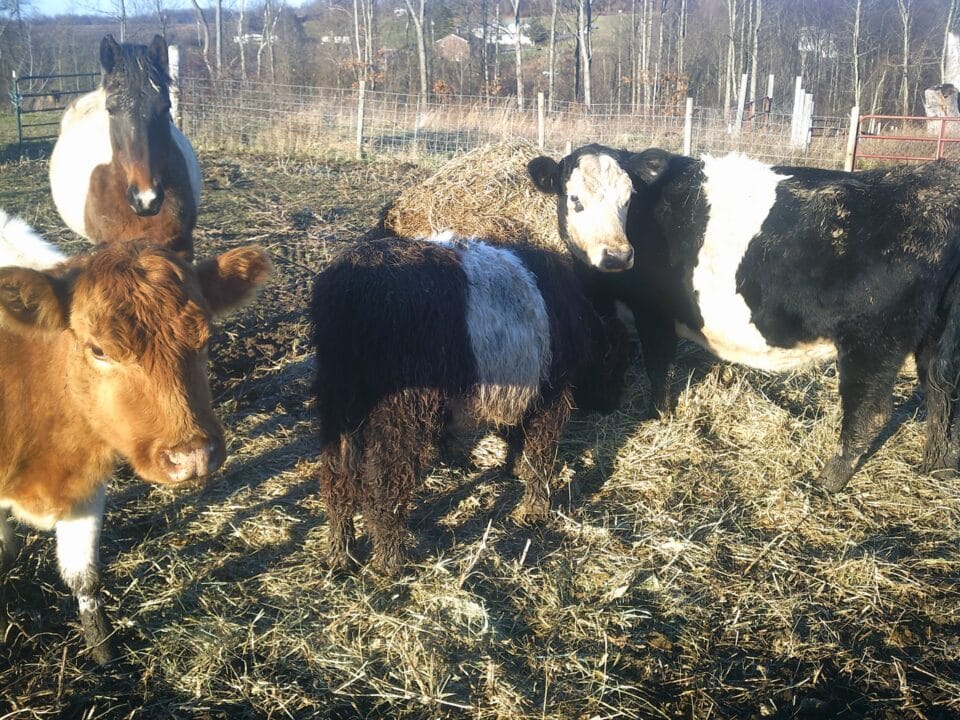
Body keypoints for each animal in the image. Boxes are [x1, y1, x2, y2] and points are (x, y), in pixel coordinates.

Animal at [528, 145, 960, 496]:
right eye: (574, 199)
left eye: (627, 198)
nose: (617, 256)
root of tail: (934, 183)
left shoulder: (654, 314)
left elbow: (658, 368)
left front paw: (656, 415)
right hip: (934, 338)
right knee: (942, 394)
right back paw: (936, 467)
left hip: (873, 341)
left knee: (872, 412)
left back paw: (827, 481)